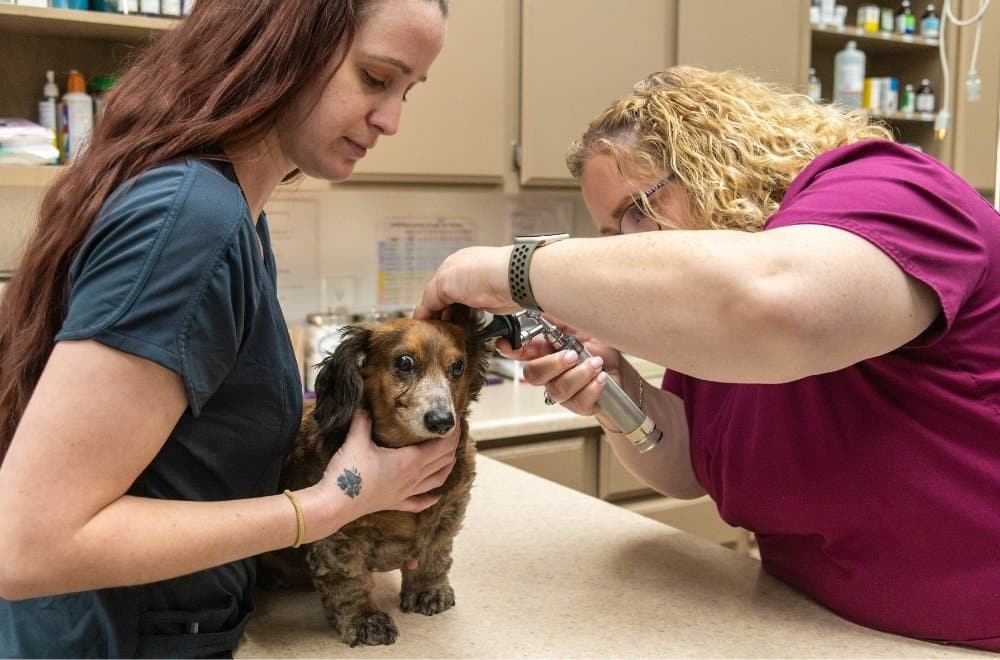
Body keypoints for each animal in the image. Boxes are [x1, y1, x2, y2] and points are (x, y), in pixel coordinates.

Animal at [258, 304, 488, 644]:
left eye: (458, 367)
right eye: (404, 362)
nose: (442, 421)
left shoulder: (449, 512)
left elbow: (434, 553)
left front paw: (428, 590)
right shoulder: (337, 538)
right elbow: (350, 582)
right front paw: (364, 619)